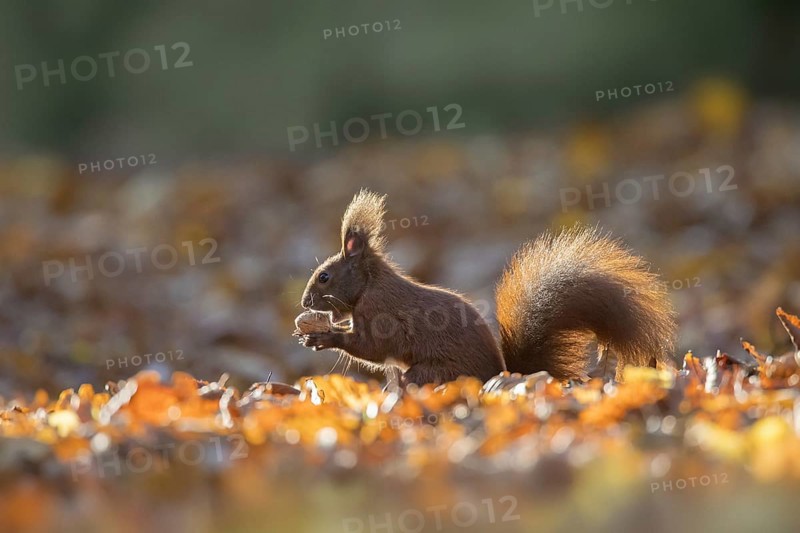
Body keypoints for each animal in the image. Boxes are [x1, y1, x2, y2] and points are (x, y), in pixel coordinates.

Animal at [298, 189, 676, 386]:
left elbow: (372, 347)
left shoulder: (381, 313)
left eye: (324, 276)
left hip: (431, 374)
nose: (304, 302)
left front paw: (323, 337)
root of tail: (501, 374)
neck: (370, 284)